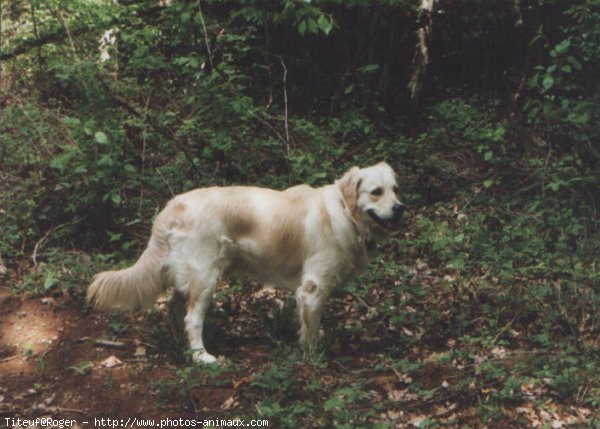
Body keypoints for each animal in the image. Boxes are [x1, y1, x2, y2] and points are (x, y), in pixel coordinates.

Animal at [86, 162, 406, 362]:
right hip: (206, 276)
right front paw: (313, 354)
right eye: (376, 192)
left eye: (395, 189)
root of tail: (174, 204)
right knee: (192, 318)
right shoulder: (313, 287)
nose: (400, 208)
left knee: (174, 307)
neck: (345, 212)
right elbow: (310, 328)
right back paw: (201, 357)